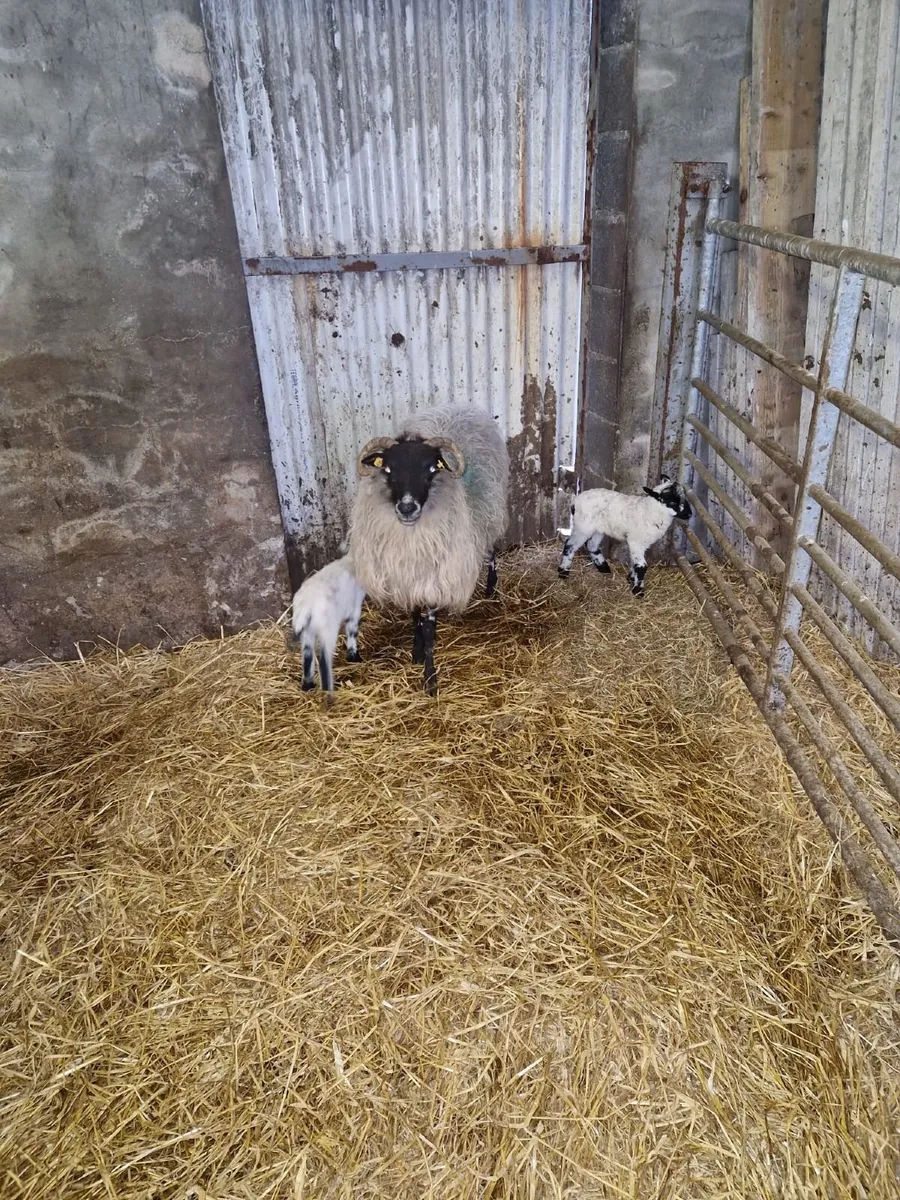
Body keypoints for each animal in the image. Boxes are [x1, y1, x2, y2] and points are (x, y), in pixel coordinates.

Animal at [285, 557, 366, 699]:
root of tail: (307, 606)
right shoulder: (355, 607)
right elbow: (352, 632)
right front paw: (353, 657)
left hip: (307, 631)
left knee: (307, 657)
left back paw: (308, 686)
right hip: (328, 628)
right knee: (324, 660)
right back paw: (328, 690)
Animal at [347, 403, 509, 694]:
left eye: (432, 469)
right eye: (388, 470)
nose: (407, 507)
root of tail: (461, 406)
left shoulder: (437, 577)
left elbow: (430, 630)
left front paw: (430, 679)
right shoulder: (406, 577)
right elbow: (415, 616)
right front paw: (416, 652)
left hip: (492, 509)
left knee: (491, 547)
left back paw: (491, 586)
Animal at [557, 475, 692, 597]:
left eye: (684, 497)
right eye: (672, 502)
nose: (690, 514)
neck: (650, 511)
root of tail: (575, 501)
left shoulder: (640, 544)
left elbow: (634, 562)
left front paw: (631, 579)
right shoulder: (636, 541)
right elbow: (642, 566)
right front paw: (638, 590)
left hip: (598, 529)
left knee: (591, 545)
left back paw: (603, 568)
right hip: (583, 527)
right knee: (570, 544)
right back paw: (563, 571)